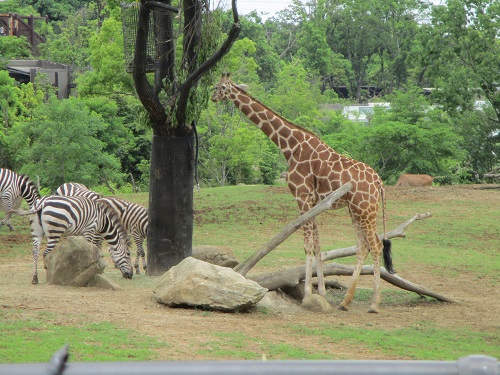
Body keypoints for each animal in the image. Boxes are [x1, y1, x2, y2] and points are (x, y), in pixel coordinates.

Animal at [211, 72, 394, 312]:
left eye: (220, 86)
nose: (212, 96)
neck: (290, 146)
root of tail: (379, 182)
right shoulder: (314, 201)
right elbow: (317, 245)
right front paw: (321, 293)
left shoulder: (301, 196)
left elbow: (307, 245)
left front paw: (308, 295)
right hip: (355, 210)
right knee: (363, 246)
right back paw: (345, 302)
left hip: (366, 209)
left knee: (376, 245)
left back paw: (374, 303)